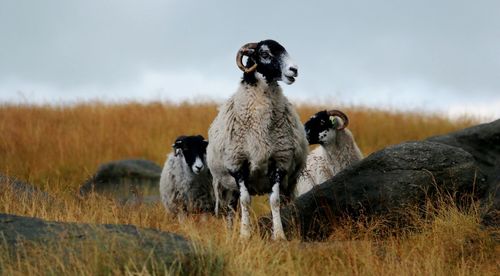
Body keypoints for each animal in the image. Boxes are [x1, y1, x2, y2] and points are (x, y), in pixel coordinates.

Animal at [205, 38, 306, 239]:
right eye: (264, 54)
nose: (294, 70)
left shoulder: (279, 163)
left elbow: (275, 201)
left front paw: (280, 235)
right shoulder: (238, 165)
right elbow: (245, 201)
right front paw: (245, 234)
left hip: (289, 182)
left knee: (285, 201)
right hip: (228, 186)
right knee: (231, 209)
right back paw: (231, 234)